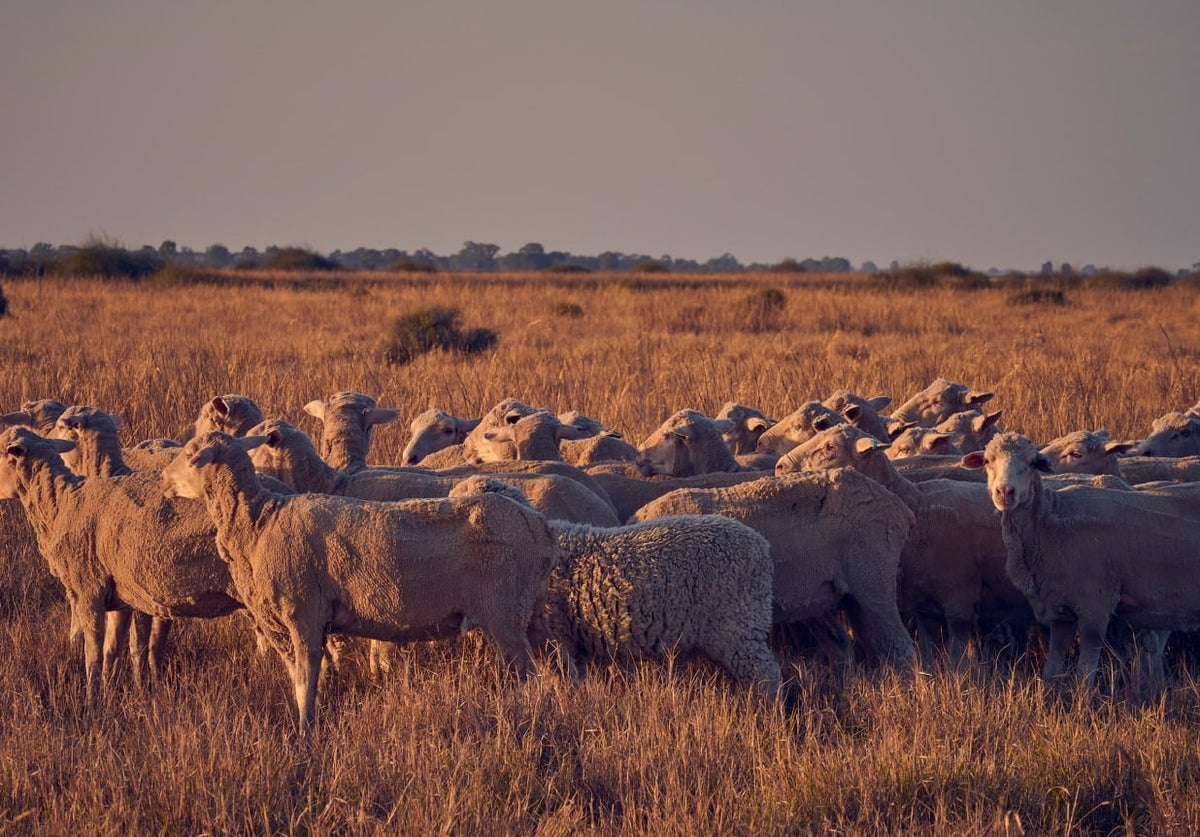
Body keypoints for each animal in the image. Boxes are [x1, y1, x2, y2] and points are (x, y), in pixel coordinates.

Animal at [0, 427, 242, 702]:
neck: (63, 505)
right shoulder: (122, 598)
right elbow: (113, 649)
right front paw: (112, 693)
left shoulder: (90, 593)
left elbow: (93, 653)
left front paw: (92, 700)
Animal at [161, 431, 562, 731]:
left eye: (191, 455)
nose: (163, 479)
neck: (258, 523)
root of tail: (539, 523)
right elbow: (305, 678)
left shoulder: (304, 615)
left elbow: (305, 682)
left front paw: (305, 735)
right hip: (530, 608)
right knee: (558, 664)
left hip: (504, 613)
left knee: (531, 677)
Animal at [450, 476, 792, 706]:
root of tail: (760, 546)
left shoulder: (555, 632)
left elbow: (560, 674)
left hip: (737, 623)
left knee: (765, 673)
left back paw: (765, 711)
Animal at [776, 424, 1033, 667]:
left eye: (830, 447)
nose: (778, 467)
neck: (918, 507)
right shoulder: (924, 607)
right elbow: (926, 654)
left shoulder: (958, 600)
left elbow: (958, 660)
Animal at [963, 432, 1200, 686]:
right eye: (987, 461)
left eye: (1032, 463)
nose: (1005, 492)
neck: (1050, 522)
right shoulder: (1060, 613)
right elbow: (1051, 670)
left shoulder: (1095, 608)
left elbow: (1084, 676)